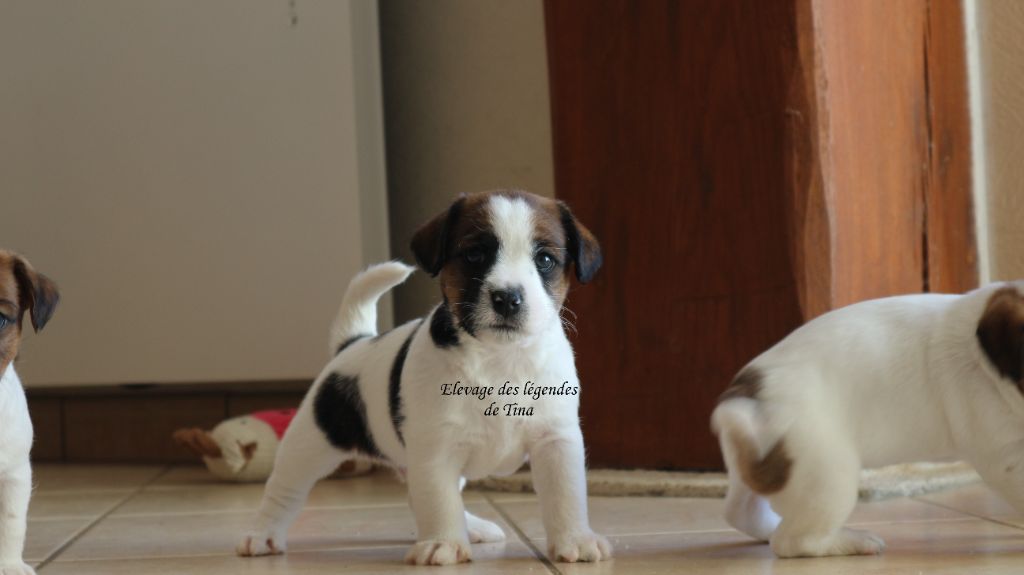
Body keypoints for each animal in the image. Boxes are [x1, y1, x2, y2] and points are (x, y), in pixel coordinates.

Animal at [237, 190, 611, 565]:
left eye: (545, 259)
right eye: (474, 254)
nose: (507, 298)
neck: (500, 358)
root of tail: (355, 342)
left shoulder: (556, 441)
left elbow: (565, 495)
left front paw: (575, 539)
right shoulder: (437, 449)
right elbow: (439, 500)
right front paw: (444, 542)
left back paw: (472, 527)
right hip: (309, 444)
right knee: (283, 492)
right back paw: (262, 535)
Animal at [712, 281, 1024, 557]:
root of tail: (749, 396)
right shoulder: (1004, 458)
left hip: (760, 466)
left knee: (742, 511)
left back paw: (769, 528)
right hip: (828, 478)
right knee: (795, 541)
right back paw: (852, 541)